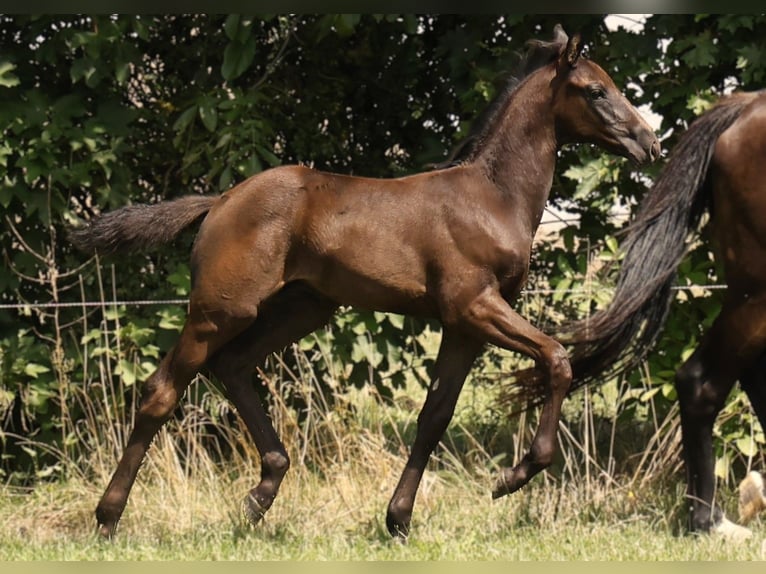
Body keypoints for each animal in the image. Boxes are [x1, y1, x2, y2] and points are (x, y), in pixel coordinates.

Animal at [70, 25, 660, 540]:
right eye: (596, 91)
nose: (649, 143)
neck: (493, 197)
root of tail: (221, 201)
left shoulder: (463, 327)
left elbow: (434, 417)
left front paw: (398, 520)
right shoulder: (475, 306)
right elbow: (557, 359)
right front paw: (512, 477)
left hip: (303, 308)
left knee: (233, 367)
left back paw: (261, 493)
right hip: (220, 311)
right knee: (162, 391)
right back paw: (108, 518)